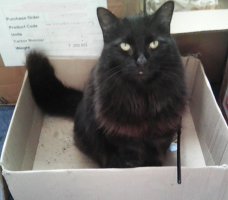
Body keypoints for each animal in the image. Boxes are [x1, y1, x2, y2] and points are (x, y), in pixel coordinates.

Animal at [26, 0, 187, 168]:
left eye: (154, 44)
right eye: (125, 46)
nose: (141, 61)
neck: (142, 98)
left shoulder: (161, 134)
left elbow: (154, 155)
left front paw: (152, 166)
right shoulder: (122, 138)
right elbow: (130, 157)